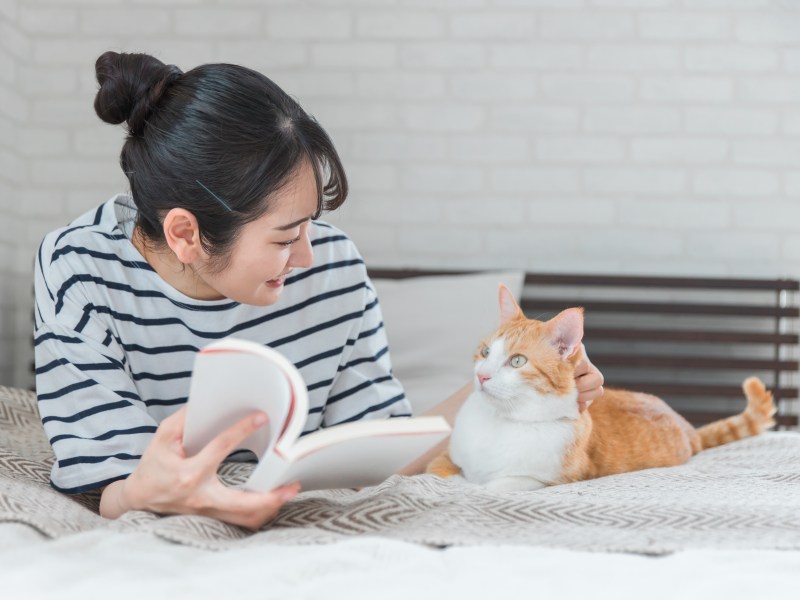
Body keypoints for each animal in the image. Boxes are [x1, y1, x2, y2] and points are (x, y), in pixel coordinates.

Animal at [428, 284, 780, 490]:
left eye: (517, 361)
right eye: (486, 352)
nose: (482, 376)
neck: (500, 421)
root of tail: (688, 428)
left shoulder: (537, 479)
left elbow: (486, 489)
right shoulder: (449, 459)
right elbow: (436, 470)